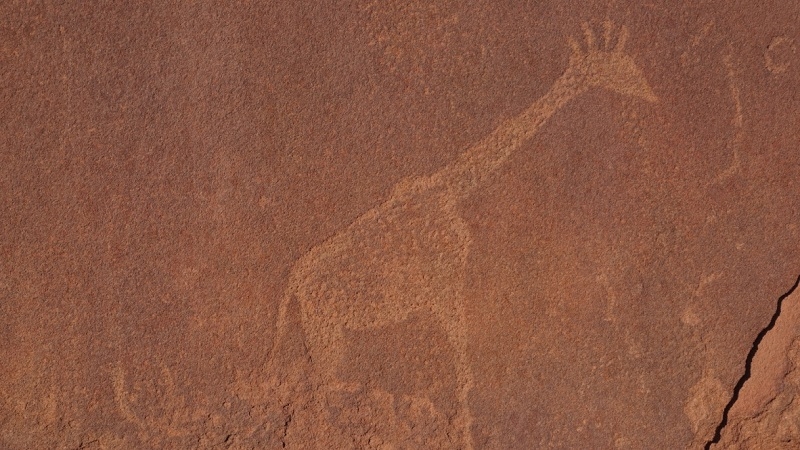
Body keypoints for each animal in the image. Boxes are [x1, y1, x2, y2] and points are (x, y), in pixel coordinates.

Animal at [269, 21, 657, 449]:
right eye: (621, 70)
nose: (653, 95)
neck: (450, 189)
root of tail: (293, 282)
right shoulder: (446, 280)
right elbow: (462, 365)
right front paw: (464, 430)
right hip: (327, 329)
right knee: (320, 384)